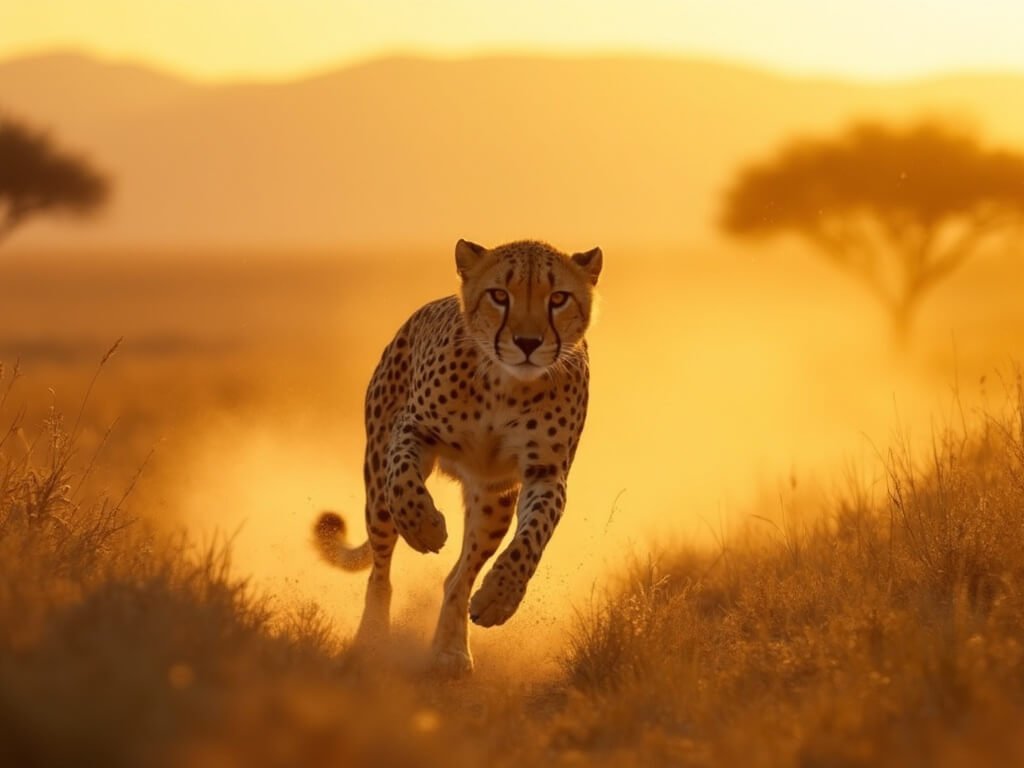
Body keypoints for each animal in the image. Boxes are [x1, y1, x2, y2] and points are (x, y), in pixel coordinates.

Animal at [313, 238, 602, 676]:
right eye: (499, 295)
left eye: (558, 298)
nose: (528, 343)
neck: (506, 384)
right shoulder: (412, 429)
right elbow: (404, 483)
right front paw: (424, 527)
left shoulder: (545, 473)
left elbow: (531, 539)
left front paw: (500, 597)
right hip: (376, 485)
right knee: (381, 568)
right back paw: (373, 640)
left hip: (492, 502)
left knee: (458, 577)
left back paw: (451, 651)